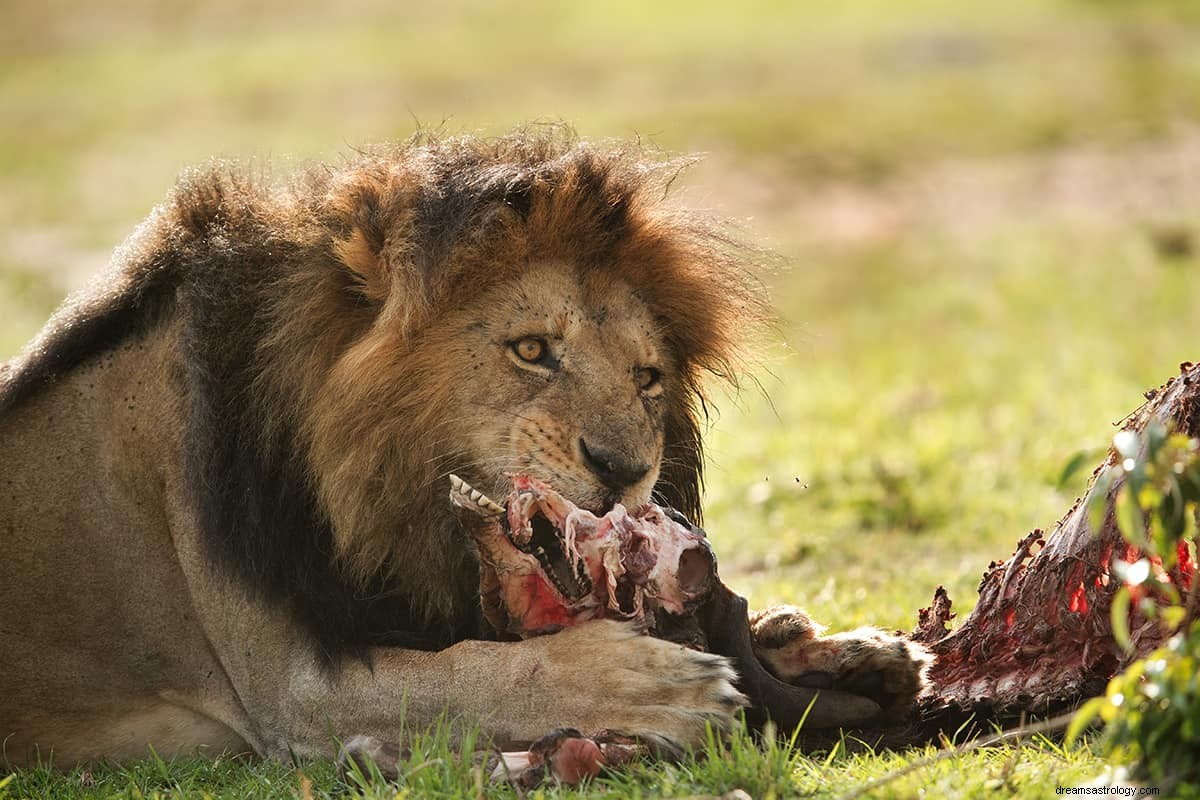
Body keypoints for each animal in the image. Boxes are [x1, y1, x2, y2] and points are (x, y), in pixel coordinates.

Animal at [0, 130, 926, 767]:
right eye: (532, 350)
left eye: (647, 377)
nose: (627, 472)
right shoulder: (293, 693)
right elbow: (472, 672)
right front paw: (645, 683)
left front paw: (843, 650)